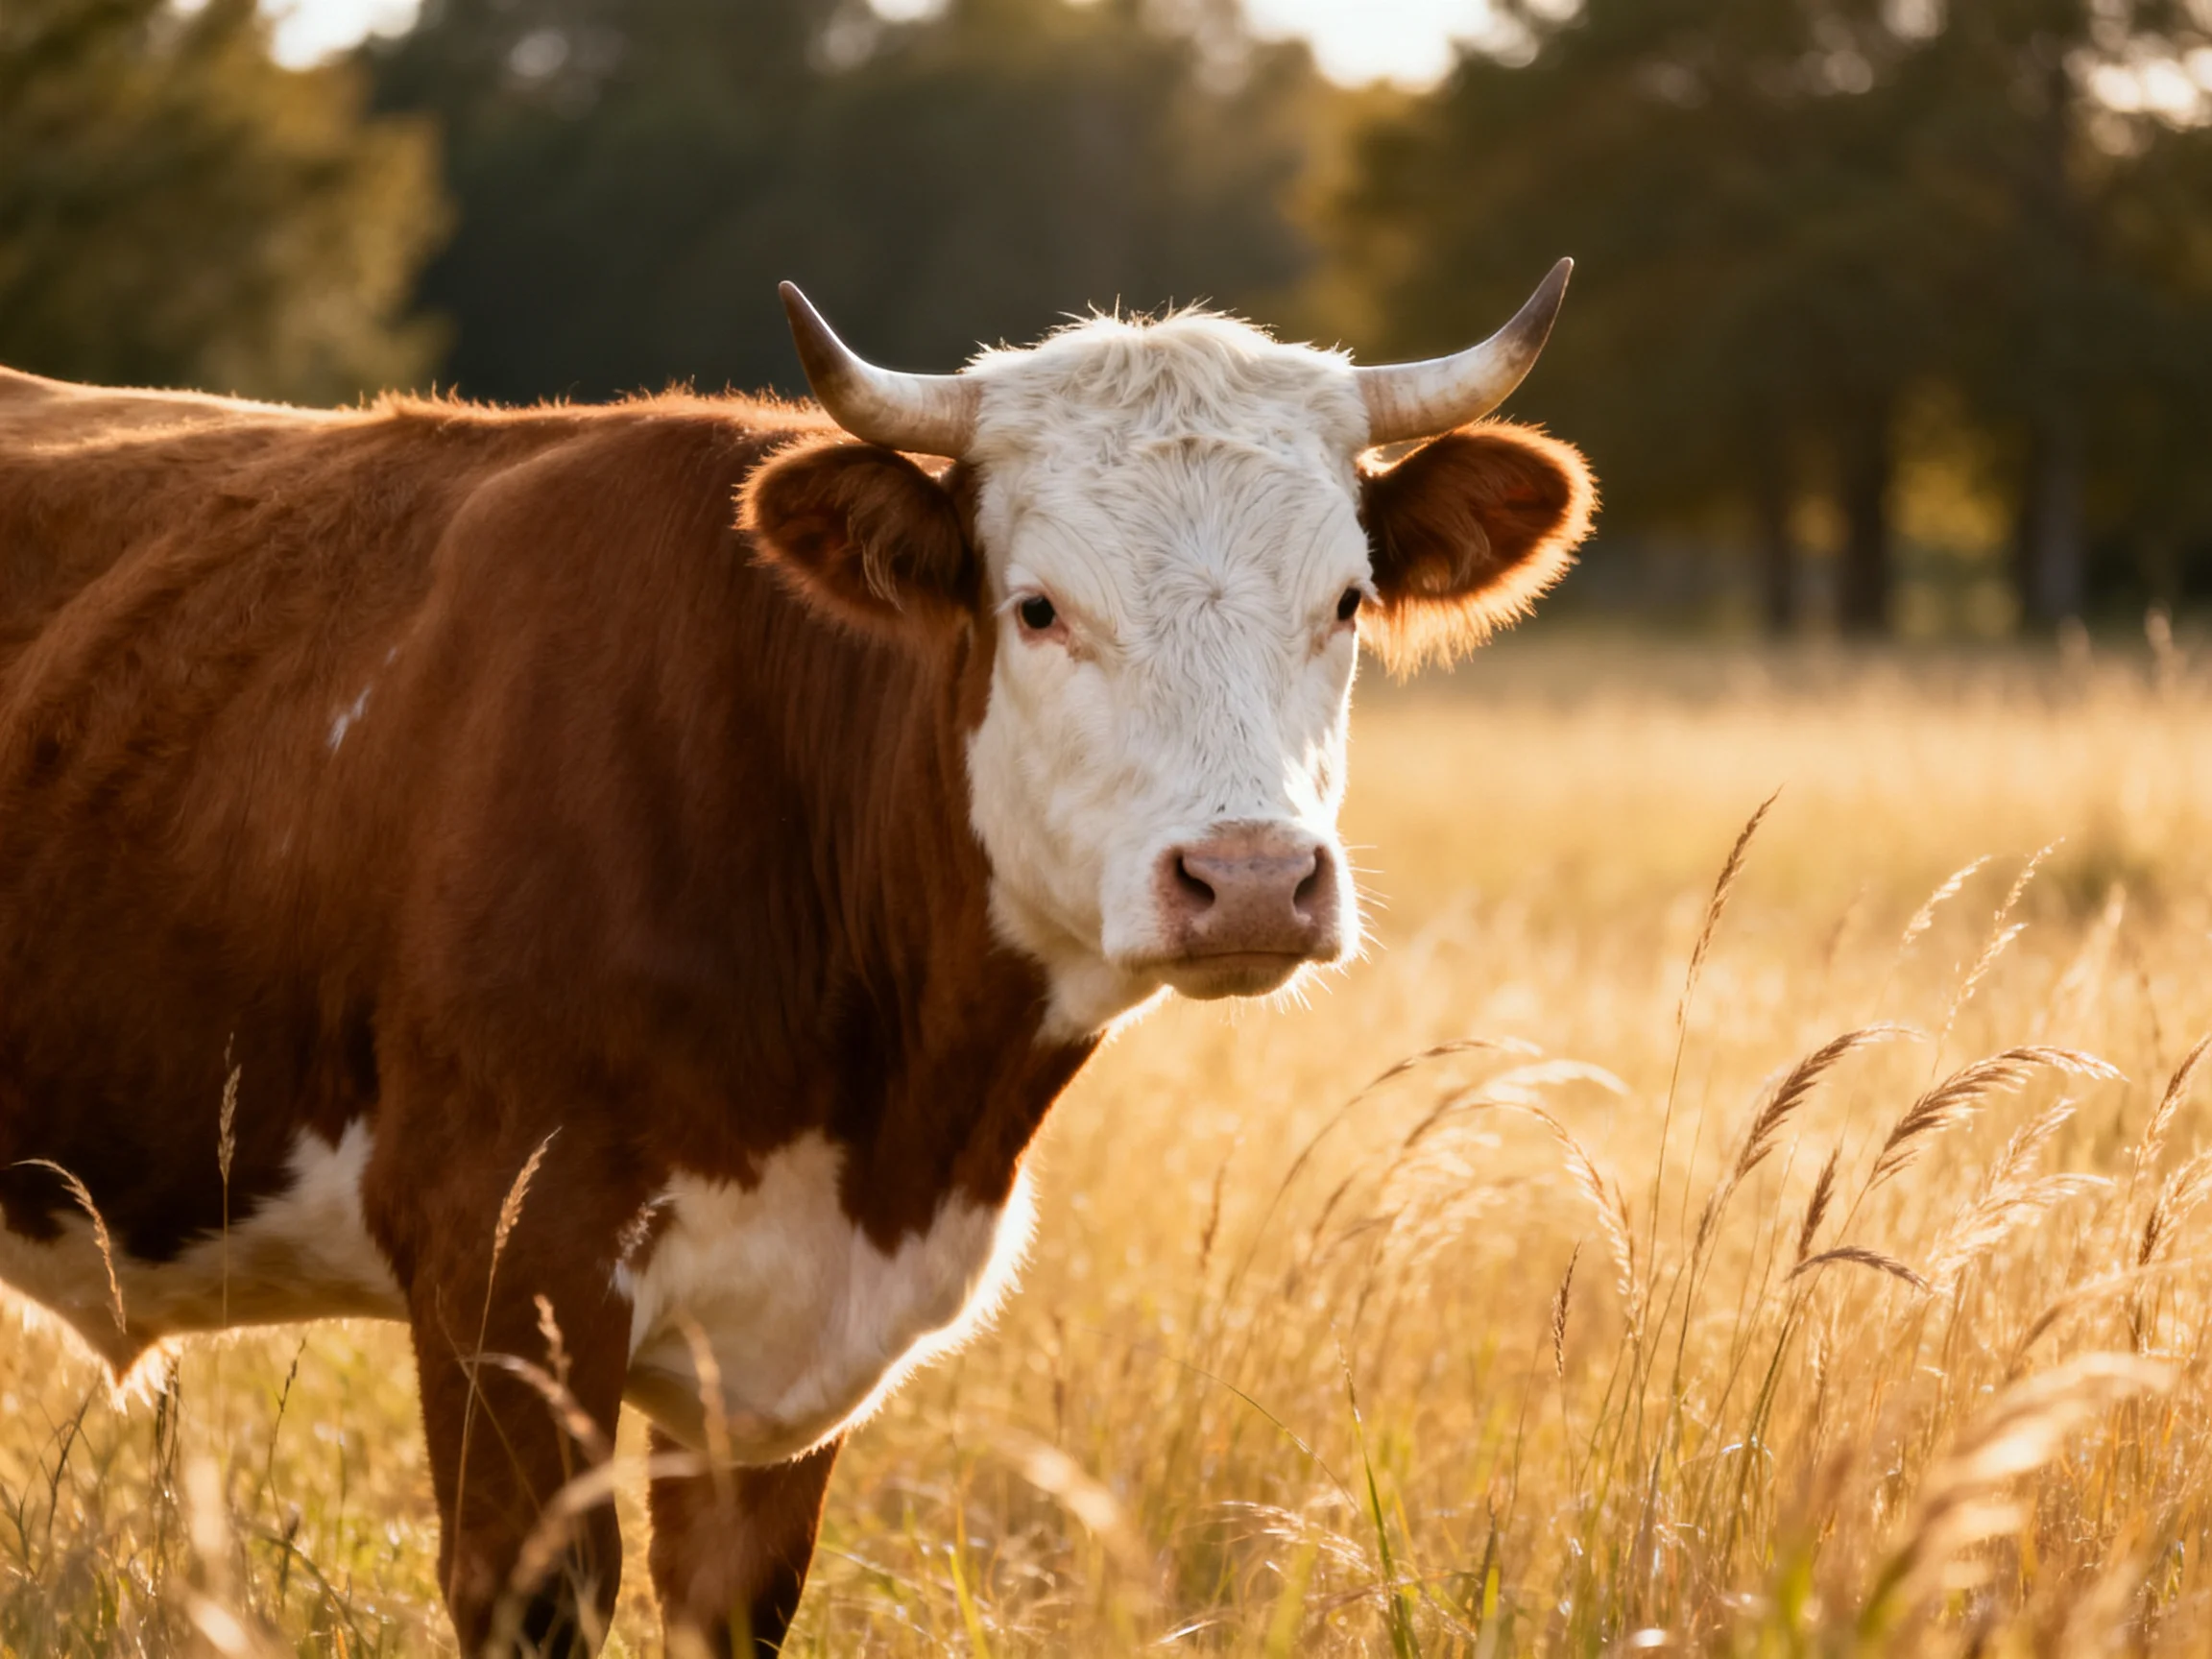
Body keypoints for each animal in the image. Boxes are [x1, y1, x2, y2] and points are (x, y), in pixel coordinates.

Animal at [0, 265, 1594, 1655]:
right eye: (1037, 608)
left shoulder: (778, 1379)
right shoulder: (500, 1263)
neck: (889, 1126)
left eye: (1344, 601)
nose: (1251, 878)